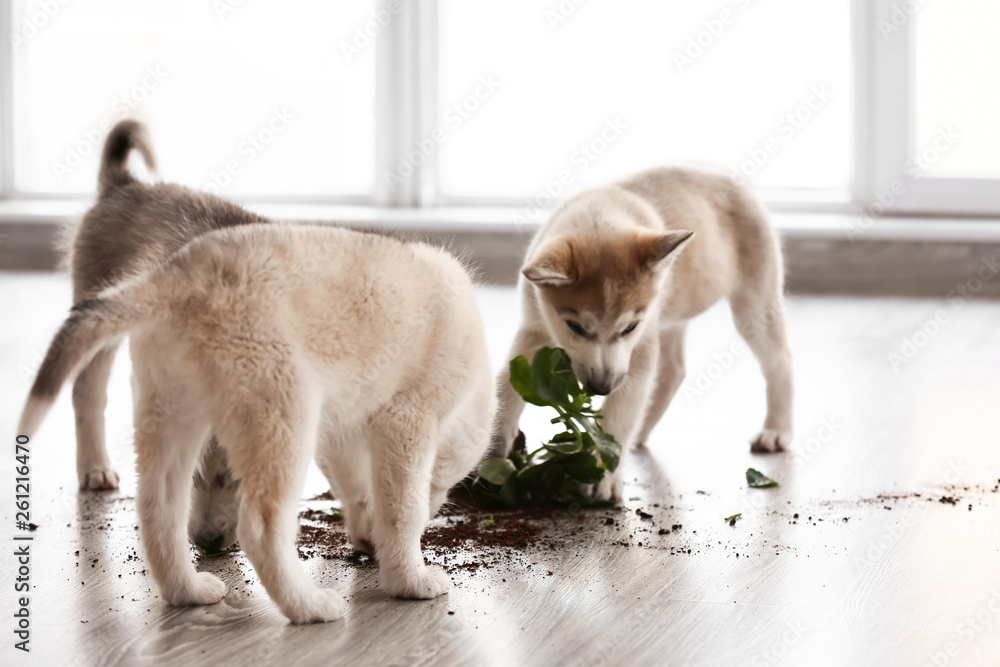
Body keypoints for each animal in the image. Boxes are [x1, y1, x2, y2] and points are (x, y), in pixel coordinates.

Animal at [20, 219, 496, 628]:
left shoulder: (343, 431)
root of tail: (178, 273)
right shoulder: (406, 419)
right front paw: (409, 581)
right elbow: (403, 510)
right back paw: (308, 607)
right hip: (283, 417)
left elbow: (364, 493)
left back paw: (187, 592)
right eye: (440, 485)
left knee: (159, 511)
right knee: (261, 530)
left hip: (173, 414)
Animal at [63, 121, 258, 552]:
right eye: (193, 476)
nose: (207, 542)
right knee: (87, 392)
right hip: (101, 314)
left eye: (235, 480)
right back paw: (95, 467)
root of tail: (125, 184)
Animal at [496, 167, 792, 500]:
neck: (600, 213)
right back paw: (643, 429)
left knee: (780, 362)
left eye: (628, 328)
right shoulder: (533, 329)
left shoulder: (640, 346)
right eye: (575, 327)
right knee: (674, 370)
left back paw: (776, 430)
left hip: (754, 306)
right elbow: (506, 385)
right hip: (673, 313)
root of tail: (728, 179)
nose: (601, 388)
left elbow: (620, 412)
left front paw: (602, 473)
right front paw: (494, 444)